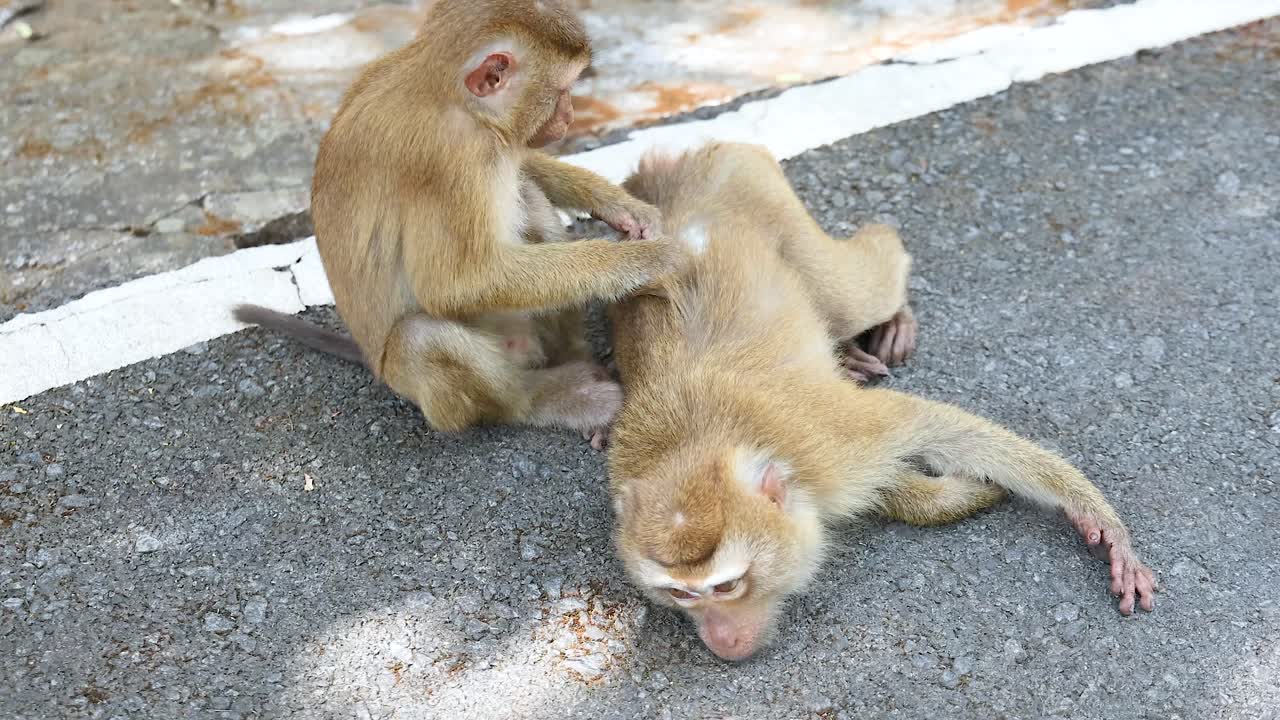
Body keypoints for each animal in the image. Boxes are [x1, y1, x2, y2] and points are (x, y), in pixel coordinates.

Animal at [233, 0, 686, 448]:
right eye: (563, 91)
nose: (571, 115)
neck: (447, 93)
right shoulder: (451, 160)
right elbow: (451, 283)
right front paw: (646, 260)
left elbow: (523, 161)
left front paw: (621, 206)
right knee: (421, 338)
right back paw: (544, 398)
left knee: (528, 196)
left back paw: (574, 358)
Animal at [606, 142, 1156, 662]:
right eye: (682, 593)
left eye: (726, 585)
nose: (722, 640)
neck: (695, 445)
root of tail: (670, 172)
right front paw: (956, 495)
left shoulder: (827, 445)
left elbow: (932, 426)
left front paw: (1100, 523)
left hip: (762, 194)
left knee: (860, 284)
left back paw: (893, 311)